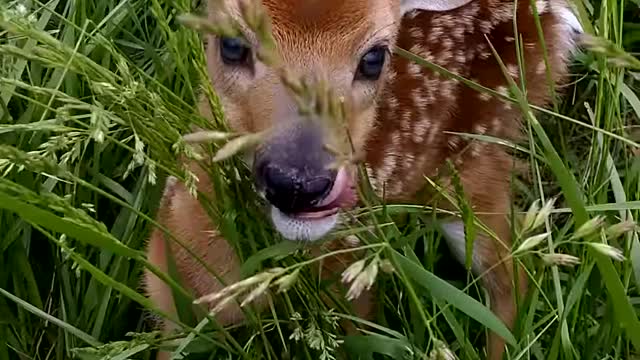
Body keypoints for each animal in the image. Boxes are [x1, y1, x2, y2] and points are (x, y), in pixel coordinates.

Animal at [142, 0, 584, 358]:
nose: (299, 184)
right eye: (231, 45)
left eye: (374, 58)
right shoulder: (165, 294)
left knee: (512, 277)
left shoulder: (351, 292)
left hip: (470, 159)